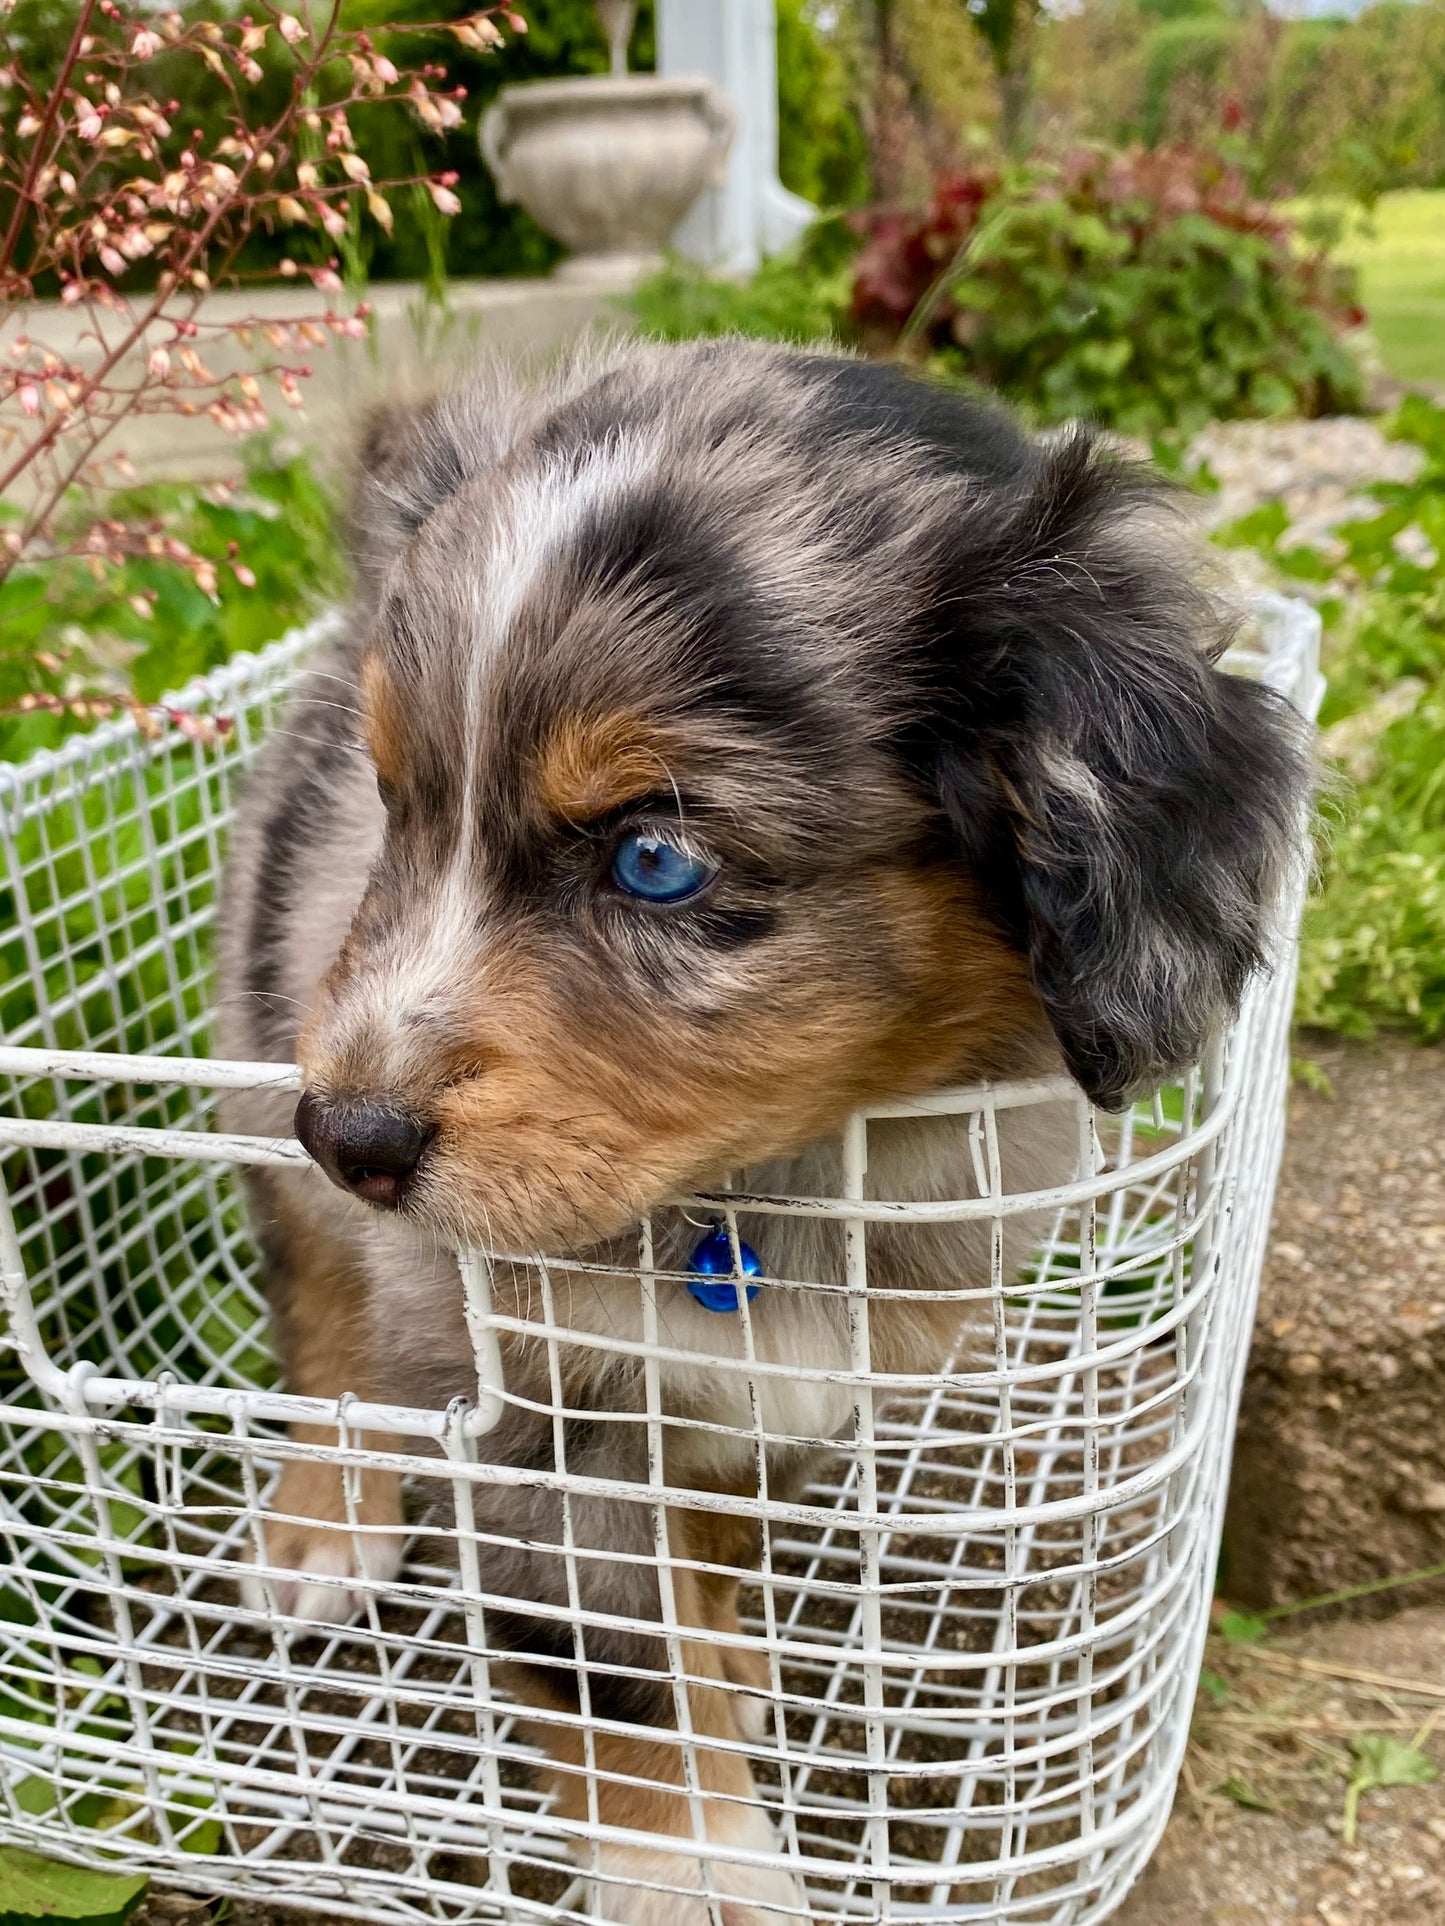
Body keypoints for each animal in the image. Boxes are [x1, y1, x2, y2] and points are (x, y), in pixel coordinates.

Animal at [217, 338, 1310, 1918]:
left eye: (655, 859)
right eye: (396, 802)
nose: (348, 1132)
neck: (777, 1179)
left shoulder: (806, 1388)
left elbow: (716, 1549)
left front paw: (726, 1664)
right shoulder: (538, 1412)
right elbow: (613, 1669)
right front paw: (694, 1861)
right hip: (267, 1031)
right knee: (317, 1305)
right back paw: (323, 1516)